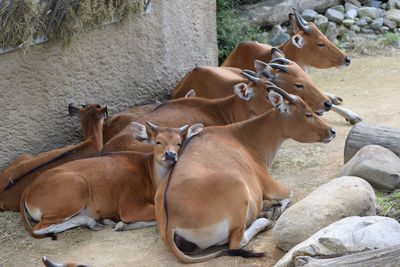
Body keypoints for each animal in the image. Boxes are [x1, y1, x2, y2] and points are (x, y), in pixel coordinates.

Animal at [19, 122, 203, 240]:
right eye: (158, 141)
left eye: (179, 143)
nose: (170, 155)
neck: (151, 176)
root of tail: (28, 191)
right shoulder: (129, 206)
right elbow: (156, 216)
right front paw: (121, 224)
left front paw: (116, 223)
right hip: (77, 188)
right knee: (40, 228)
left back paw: (95, 221)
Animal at [155, 81, 336, 264]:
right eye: (308, 114)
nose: (332, 131)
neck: (241, 137)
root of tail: (169, 226)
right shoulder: (269, 186)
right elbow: (290, 193)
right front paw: (274, 210)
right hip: (237, 186)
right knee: (236, 242)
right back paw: (264, 220)